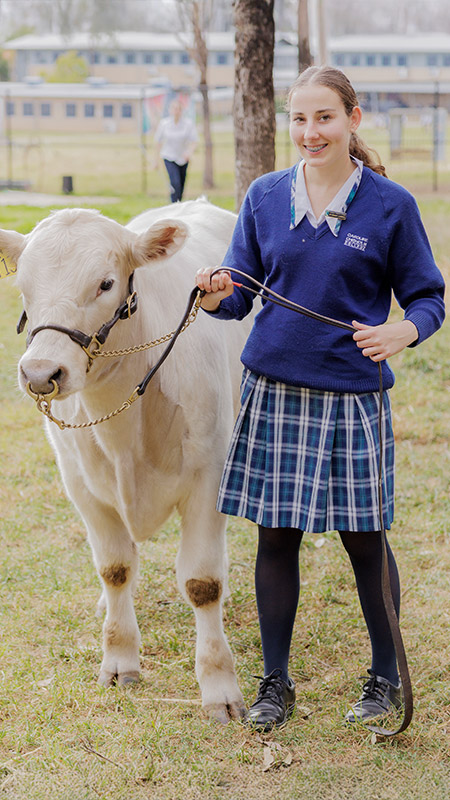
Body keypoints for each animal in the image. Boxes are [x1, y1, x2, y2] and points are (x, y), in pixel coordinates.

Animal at [1, 199, 251, 724]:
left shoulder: (208, 478)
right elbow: (115, 568)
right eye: (23, 286)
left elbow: (202, 582)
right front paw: (119, 660)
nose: (41, 373)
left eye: (105, 283)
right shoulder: (80, 485)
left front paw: (219, 687)